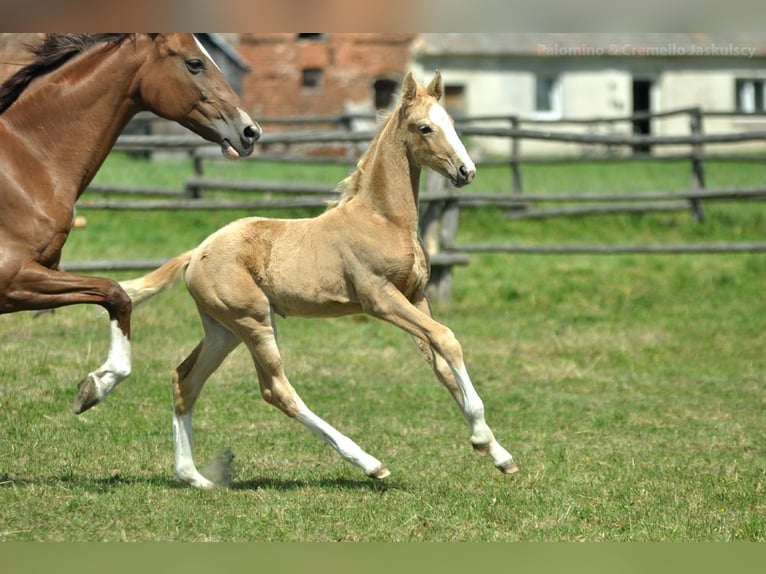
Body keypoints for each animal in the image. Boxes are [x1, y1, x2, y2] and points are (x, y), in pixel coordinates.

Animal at [0, 33, 260, 416]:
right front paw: (95, 386)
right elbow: (116, 293)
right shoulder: (12, 279)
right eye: (194, 63)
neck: (25, 161)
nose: (250, 131)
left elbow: (113, 293)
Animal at [124, 70, 520, 488]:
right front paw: (481, 437)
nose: (466, 172)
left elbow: (442, 365)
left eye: (453, 123)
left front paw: (498, 453)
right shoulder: (380, 299)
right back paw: (369, 463)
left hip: (223, 330)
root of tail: (195, 254)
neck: (382, 219)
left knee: (185, 379)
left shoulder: (415, 297)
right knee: (276, 390)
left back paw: (193, 477)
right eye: (424, 127)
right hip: (254, 321)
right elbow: (447, 339)